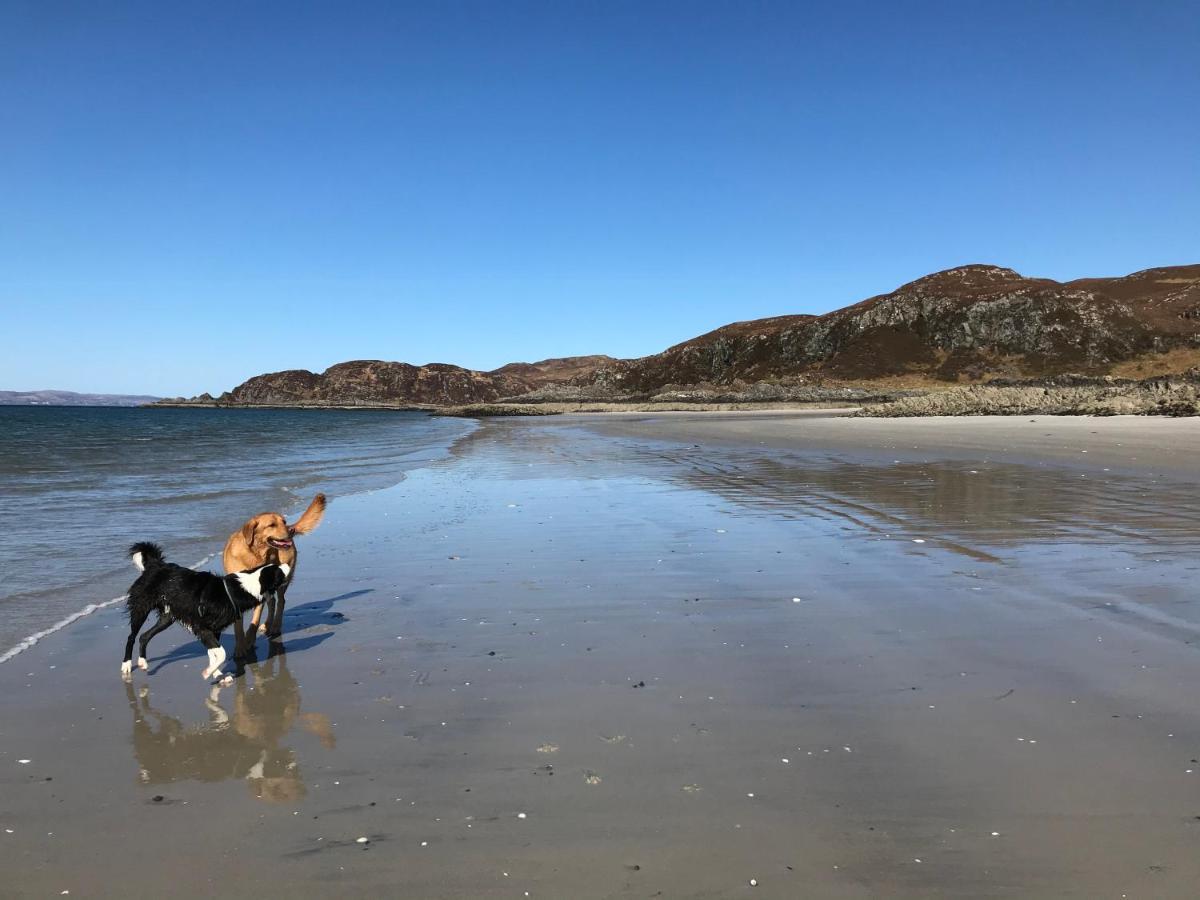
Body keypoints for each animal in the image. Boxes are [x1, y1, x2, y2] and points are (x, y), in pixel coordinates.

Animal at [121, 542, 290, 681]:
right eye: (279, 572)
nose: (288, 565)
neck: (236, 590)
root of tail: (155, 565)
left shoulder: (213, 629)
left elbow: (213, 653)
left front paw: (217, 675)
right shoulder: (201, 627)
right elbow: (220, 653)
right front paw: (209, 673)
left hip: (167, 617)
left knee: (144, 636)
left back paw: (142, 662)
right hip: (141, 607)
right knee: (132, 636)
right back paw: (126, 665)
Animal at [223, 494, 326, 648]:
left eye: (283, 521)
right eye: (271, 525)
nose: (290, 530)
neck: (256, 555)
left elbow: (255, 618)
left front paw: (249, 640)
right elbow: (239, 625)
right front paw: (241, 646)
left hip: (283, 578)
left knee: (281, 601)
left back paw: (276, 626)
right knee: (272, 602)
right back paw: (267, 625)